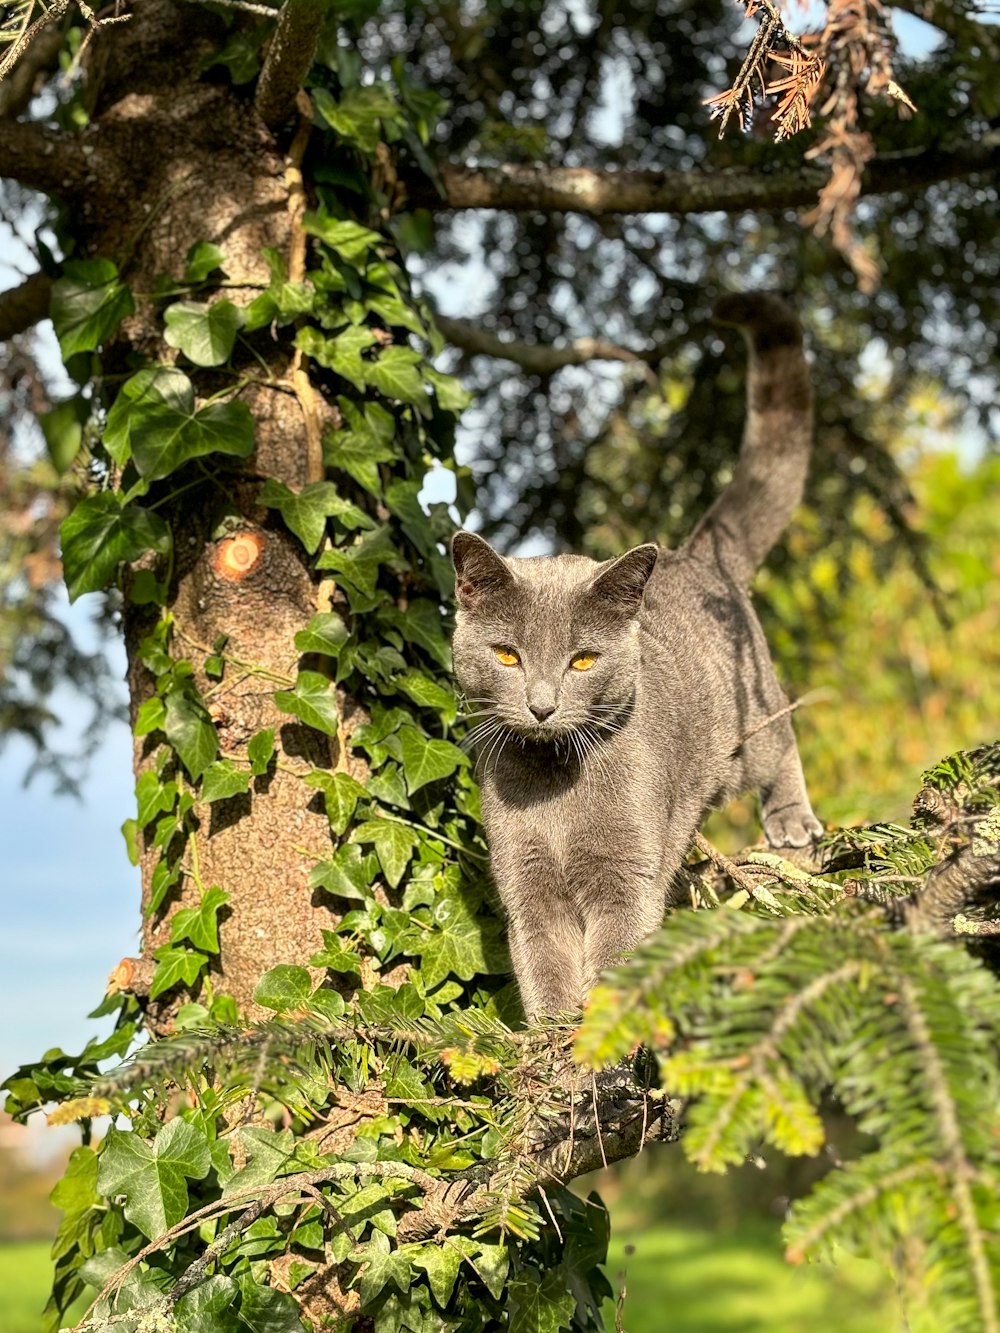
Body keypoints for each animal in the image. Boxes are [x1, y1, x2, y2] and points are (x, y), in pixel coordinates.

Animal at [453, 294, 821, 1018]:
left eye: (582, 660)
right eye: (508, 656)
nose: (541, 707)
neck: (555, 792)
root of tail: (696, 554)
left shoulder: (629, 875)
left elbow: (619, 956)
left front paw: (600, 1028)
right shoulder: (524, 883)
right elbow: (543, 965)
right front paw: (550, 1033)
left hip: (746, 719)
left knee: (782, 735)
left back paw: (792, 819)